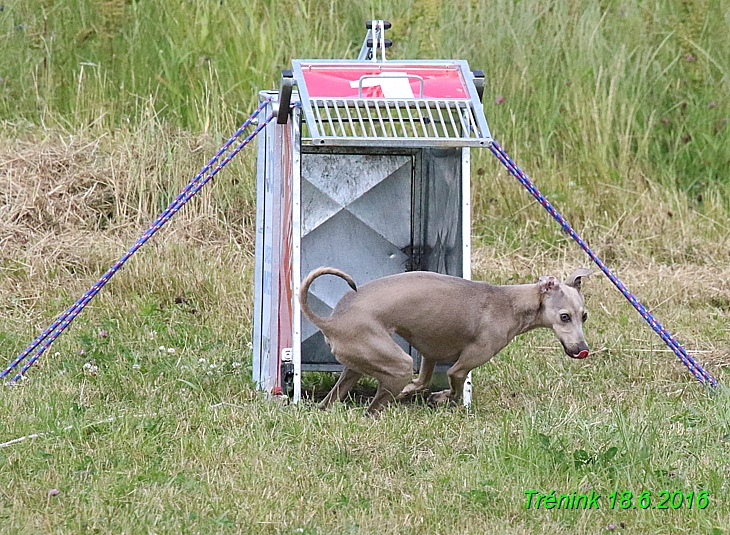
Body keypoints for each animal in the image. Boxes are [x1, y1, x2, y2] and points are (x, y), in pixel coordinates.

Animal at [298, 266, 588, 414]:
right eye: (564, 317)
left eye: (584, 316)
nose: (583, 349)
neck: (511, 303)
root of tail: (332, 321)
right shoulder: (461, 367)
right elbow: (455, 386)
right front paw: (441, 398)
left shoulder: (430, 352)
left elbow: (422, 379)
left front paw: (413, 391)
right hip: (398, 363)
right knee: (371, 409)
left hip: (357, 365)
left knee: (330, 400)